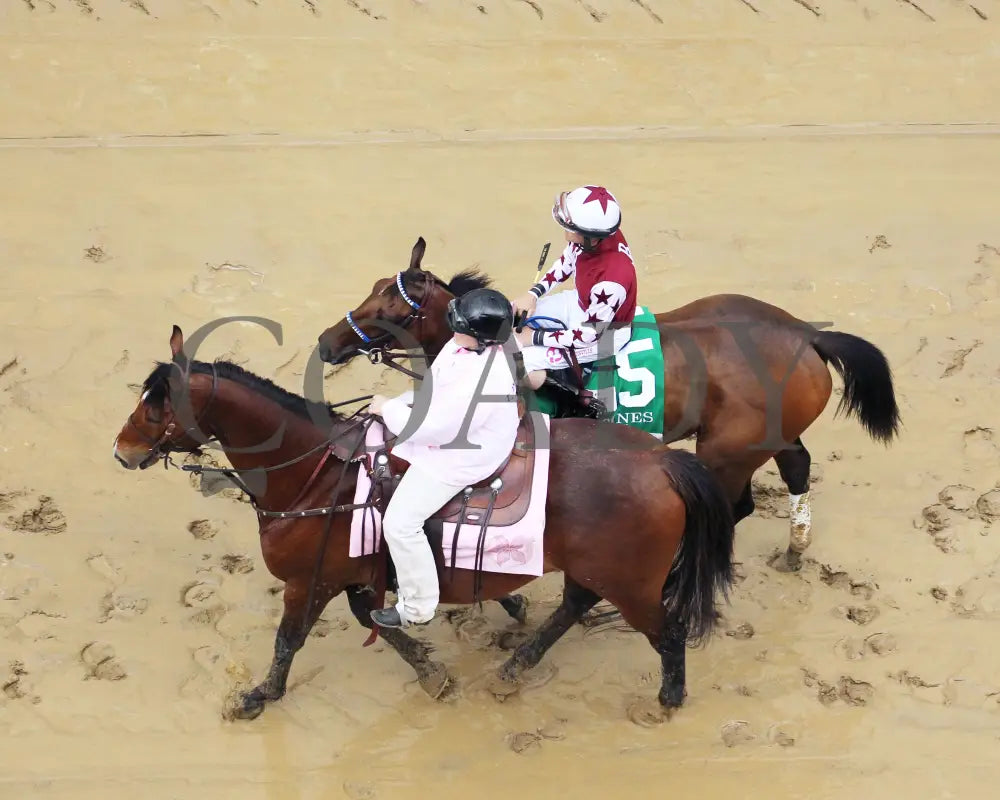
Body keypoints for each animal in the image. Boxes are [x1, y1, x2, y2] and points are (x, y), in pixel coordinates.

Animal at [111, 324, 736, 720]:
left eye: (156, 405)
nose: (121, 451)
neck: (317, 473)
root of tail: (660, 460)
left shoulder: (308, 581)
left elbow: (290, 639)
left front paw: (260, 695)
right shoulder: (353, 575)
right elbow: (375, 621)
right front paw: (432, 674)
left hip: (630, 584)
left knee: (666, 632)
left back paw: (667, 702)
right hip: (600, 570)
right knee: (574, 605)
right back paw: (516, 665)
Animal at [316, 234, 904, 572]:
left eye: (391, 311)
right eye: (372, 289)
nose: (327, 342)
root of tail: (807, 333)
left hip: (728, 449)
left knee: (735, 505)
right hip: (770, 434)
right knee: (798, 464)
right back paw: (795, 549)